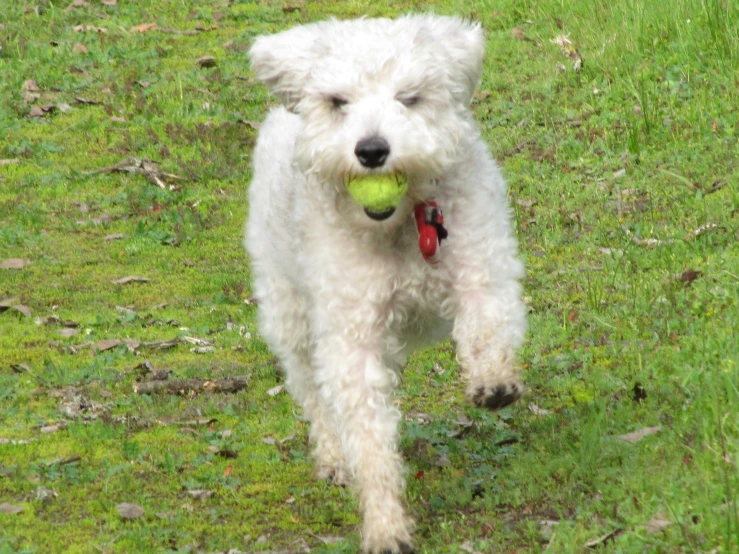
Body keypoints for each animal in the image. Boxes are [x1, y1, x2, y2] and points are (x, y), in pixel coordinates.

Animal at [247, 15, 528, 548]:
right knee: (312, 391)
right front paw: (384, 523)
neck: (401, 225)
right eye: (338, 101)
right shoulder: (350, 337)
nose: (372, 150)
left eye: (409, 97)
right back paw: (334, 457)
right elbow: (367, 436)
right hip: (288, 310)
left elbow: (485, 321)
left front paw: (493, 381)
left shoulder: (483, 264)